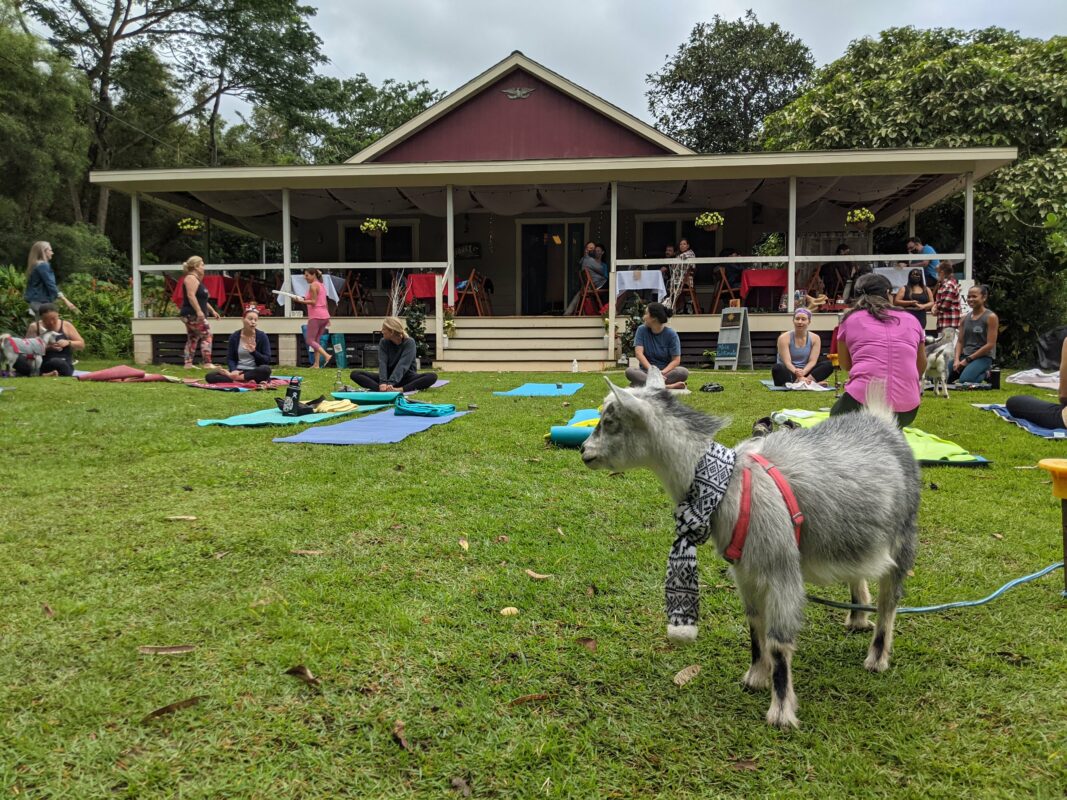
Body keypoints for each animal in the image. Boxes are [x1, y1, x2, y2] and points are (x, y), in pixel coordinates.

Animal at [580, 369, 921, 733]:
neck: (727, 485)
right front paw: (756, 677)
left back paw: (877, 657)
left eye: (610, 421)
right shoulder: (744, 571)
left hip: (903, 534)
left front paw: (781, 711)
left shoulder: (781, 571)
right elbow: (755, 626)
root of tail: (881, 420)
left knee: (889, 601)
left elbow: (778, 641)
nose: (584, 451)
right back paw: (857, 618)